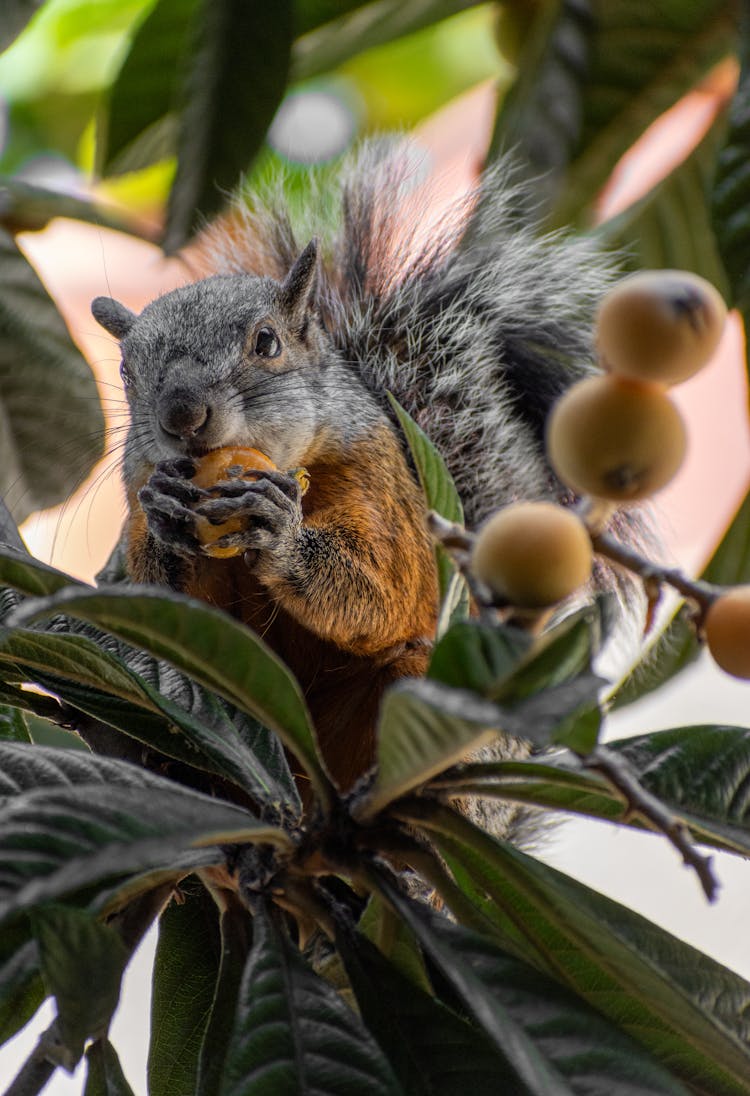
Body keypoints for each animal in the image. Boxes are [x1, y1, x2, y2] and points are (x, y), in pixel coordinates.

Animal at [91, 141, 622, 797]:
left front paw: (280, 533)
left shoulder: (379, 483)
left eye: (267, 343)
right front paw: (167, 514)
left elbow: (386, 589)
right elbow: (181, 608)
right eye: (125, 372)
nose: (182, 415)